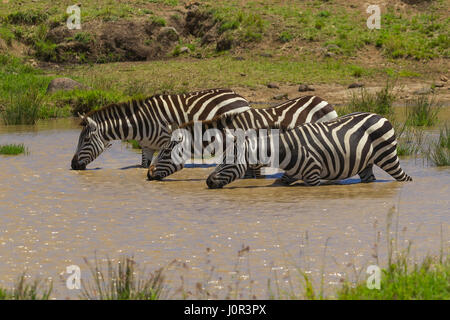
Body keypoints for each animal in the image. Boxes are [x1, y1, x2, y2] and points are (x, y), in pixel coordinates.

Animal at [70, 88, 250, 170]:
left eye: (86, 140)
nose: (73, 165)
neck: (139, 123)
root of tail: (240, 96)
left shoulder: (166, 141)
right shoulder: (147, 147)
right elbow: (144, 166)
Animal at [206, 112, 414, 189]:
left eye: (226, 162)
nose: (208, 182)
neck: (284, 150)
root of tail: (381, 115)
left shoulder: (313, 177)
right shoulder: (288, 176)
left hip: (387, 156)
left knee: (405, 178)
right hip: (366, 163)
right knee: (369, 178)